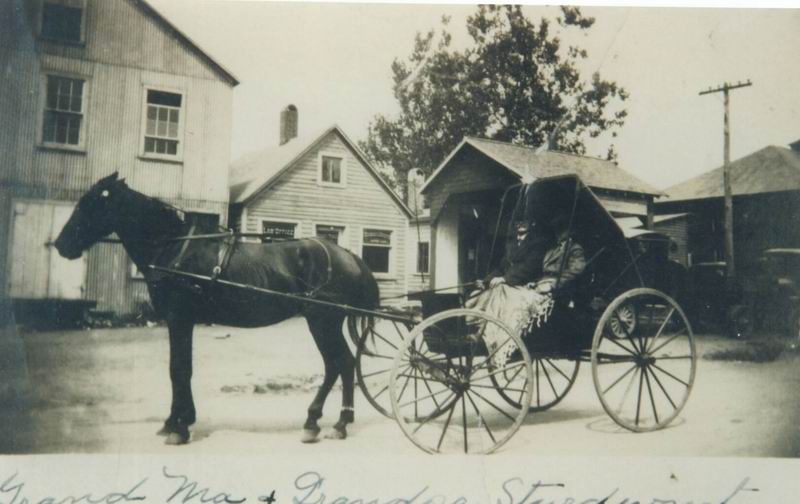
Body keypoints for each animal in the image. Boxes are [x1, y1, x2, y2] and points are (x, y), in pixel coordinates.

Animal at [54, 172, 380, 445]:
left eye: (90, 204)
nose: (59, 245)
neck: (174, 246)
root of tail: (347, 254)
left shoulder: (180, 318)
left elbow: (180, 369)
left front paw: (179, 427)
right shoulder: (177, 321)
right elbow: (179, 368)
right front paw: (174, 421)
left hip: (322, 320)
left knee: (339, 363)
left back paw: (326, 422)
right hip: (325, 322)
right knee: (342, 364)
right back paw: (333, 421)